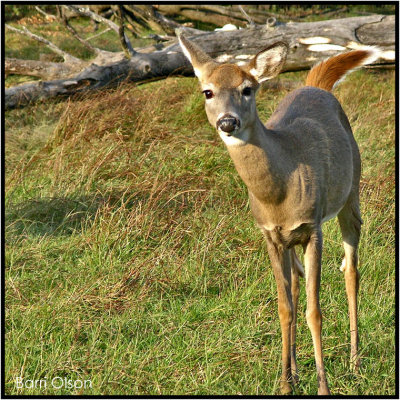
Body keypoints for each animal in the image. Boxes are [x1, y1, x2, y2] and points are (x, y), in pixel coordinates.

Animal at [179, 32, 382, 396]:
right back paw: (298, 371)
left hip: (351, 193)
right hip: (291, 242)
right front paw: (286, 383)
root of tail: (314, 85)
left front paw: (323, 387)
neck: (279, 192)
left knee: (351, 271)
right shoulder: (270, 235)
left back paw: (355, 363)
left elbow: (314, 311)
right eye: (207, 91)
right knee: (298, 281)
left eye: (248, 88)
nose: (228, 122)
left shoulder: (313, 227)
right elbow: (285, 307)